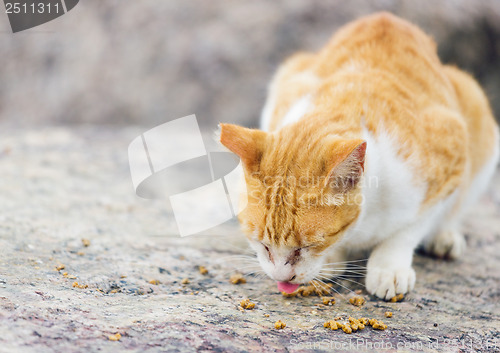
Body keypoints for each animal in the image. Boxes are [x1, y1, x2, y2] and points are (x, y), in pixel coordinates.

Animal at [220, 13, 500, 300]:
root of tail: (386, 17)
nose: (281, 279)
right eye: (263, 245)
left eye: (306, 247)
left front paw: (388, 267)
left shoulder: (449, 162)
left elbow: (408, 230)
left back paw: (445, 237)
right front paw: (333, 260)